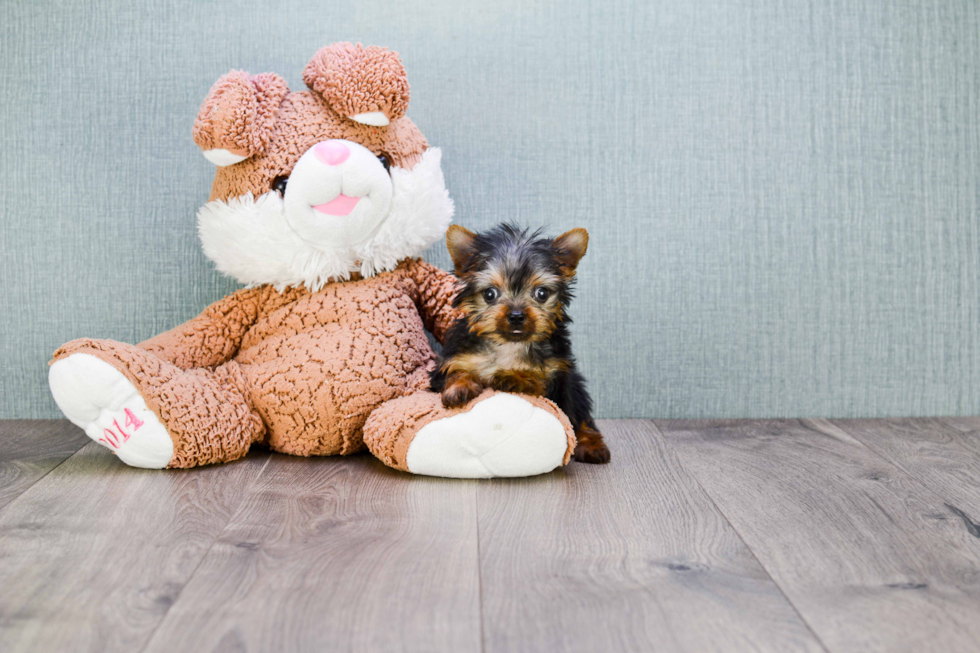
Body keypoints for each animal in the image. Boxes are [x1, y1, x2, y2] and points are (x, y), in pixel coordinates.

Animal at [430, 224, 608, 464]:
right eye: (489, 294)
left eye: (541, 293)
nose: (516, 316)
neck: (509, 344)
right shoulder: (452, 359)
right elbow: (456, 371)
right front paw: (460, 387)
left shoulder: (557, 377)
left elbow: (539, 381)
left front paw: (514, 376)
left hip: (575, 387)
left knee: (582, 417)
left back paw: (592, 444)